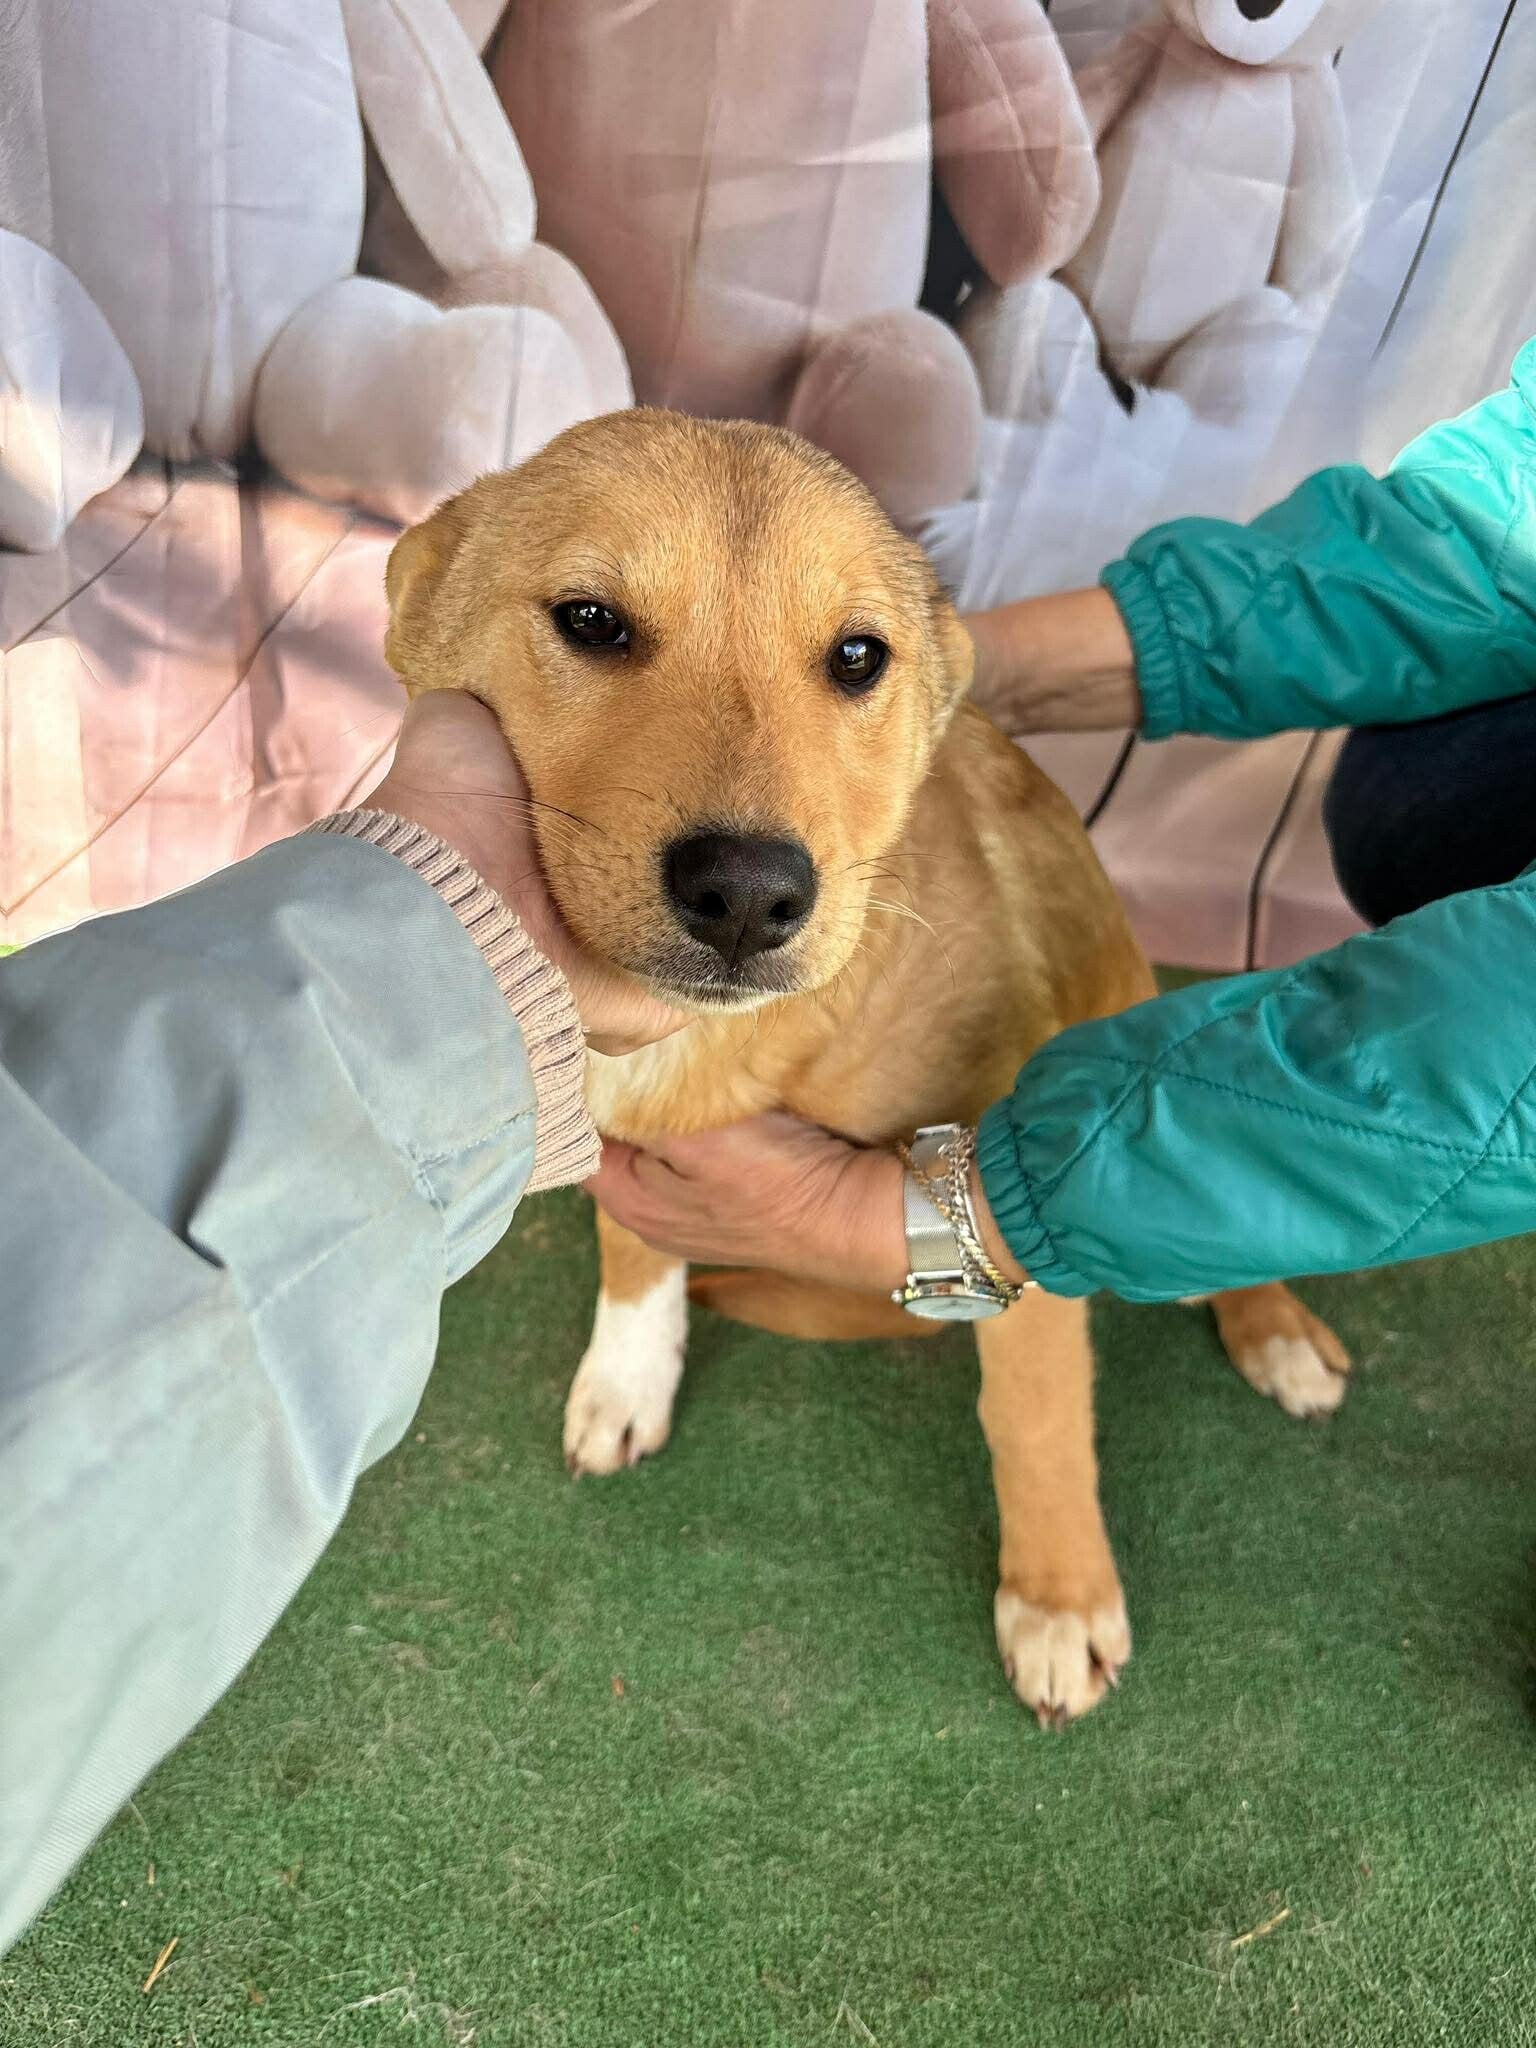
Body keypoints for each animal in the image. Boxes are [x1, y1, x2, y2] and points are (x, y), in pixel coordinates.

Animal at [384, 409, 1350, 1725]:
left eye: (856, 656)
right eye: (589, 619)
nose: (749, 892)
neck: (705, 1047)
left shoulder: (1002, 1170)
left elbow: (1032, 1405)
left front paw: (1056, 1598)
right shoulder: (631, 1143)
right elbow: (634, 1251)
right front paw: (629, 1374)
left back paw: (1274, 1329)